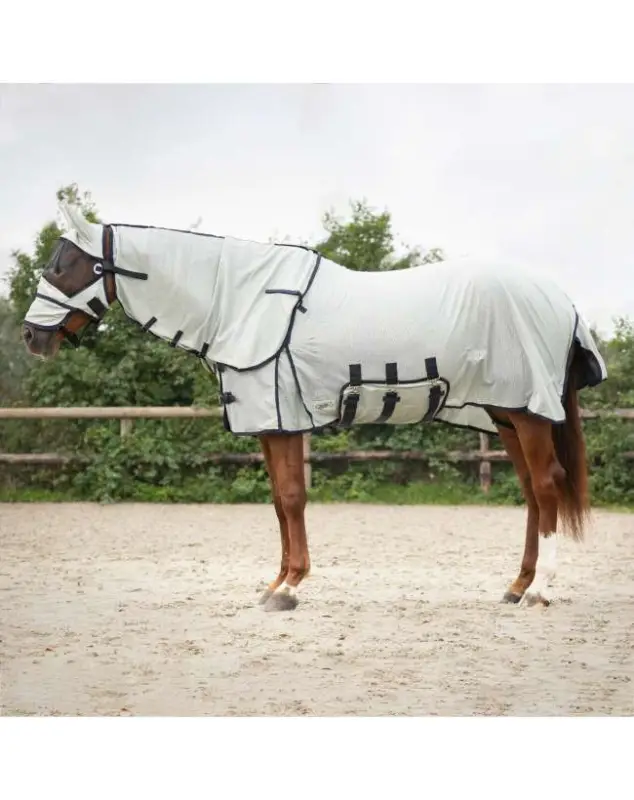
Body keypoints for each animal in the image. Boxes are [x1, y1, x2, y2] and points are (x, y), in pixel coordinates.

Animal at [22, 203, 607, 611]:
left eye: (65, 264)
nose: (30, 337)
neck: (239, 301)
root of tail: (561, 300)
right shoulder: (269, 419)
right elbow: (281, 504)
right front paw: (276, 583)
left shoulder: (282, 420)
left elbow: (292, 497)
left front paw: (289, 588)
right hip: (505, 414)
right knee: (531, 492)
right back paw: (517, 585)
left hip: (529, 413)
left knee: (548, 485)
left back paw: (539, 592)